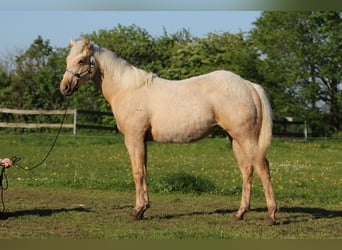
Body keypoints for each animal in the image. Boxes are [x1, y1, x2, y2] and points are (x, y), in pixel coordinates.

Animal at [59, 36, 278, 225]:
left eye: (81, 60)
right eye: (68, 59)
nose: (65, 87)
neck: (128, 89)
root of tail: (249, 85)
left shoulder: (134, 138)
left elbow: (137, 172)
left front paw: (136, 211)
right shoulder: (143, 140)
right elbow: (144, 171)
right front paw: (143, 209)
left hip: (246, 137)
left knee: (262, 167)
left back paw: (271, 215)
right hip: (235, 139)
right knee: (247, 170)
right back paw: (240, 213)